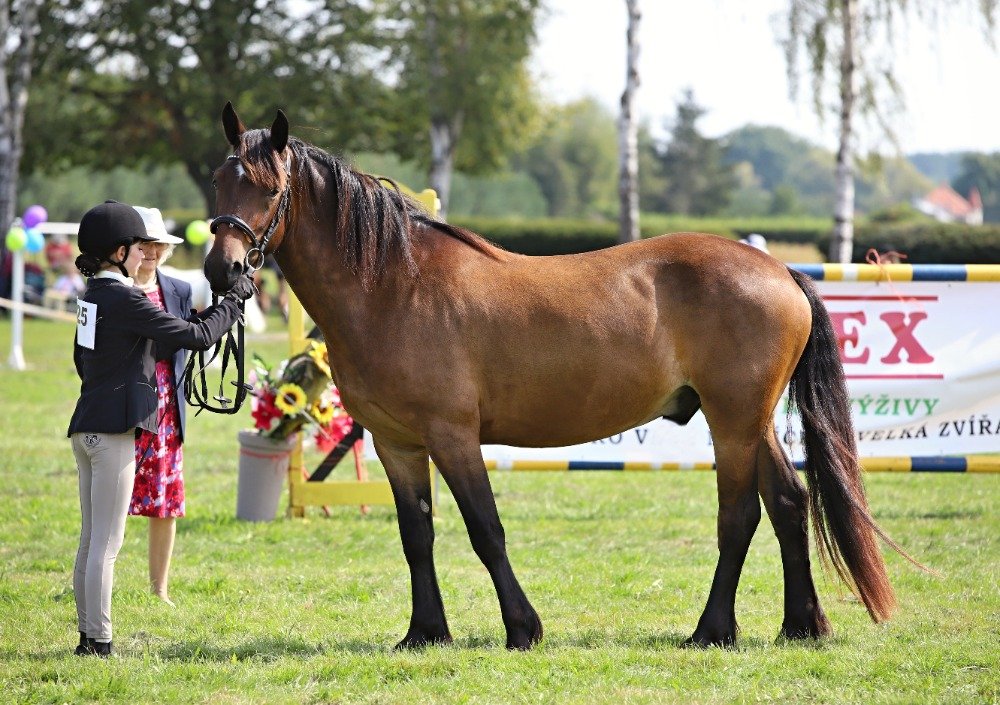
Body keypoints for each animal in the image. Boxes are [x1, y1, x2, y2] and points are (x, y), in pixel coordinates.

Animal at [205, 104, 908, 648]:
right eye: (217, 182)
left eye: (270, 189)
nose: (221, 269)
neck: (393, 283)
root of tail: (780, 270)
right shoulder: (396, 443)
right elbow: (417, 536)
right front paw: (425, 632)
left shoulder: (452, 436)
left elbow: (485, 530)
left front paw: (522, 628)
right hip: (750, 420)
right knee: (789, 502)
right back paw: (802, 625)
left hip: (733, 421)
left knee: (739, 516)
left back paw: (712, 630)